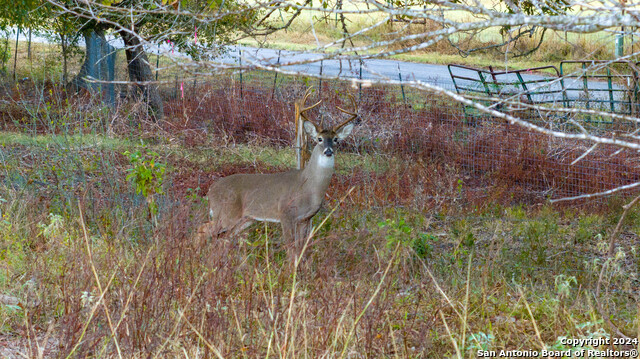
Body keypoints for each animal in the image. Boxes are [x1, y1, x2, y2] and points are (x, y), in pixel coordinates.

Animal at [200, 91, 358, 249]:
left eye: (336, 139)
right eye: (319, 139)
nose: (328, 151)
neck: (309, 186)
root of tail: (211, 189)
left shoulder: (305, 219)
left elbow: (300, 248)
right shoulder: (285, 214)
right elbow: (290, 248)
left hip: (244, 219)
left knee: (221, 238)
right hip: (226, 213)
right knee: (203, 230)